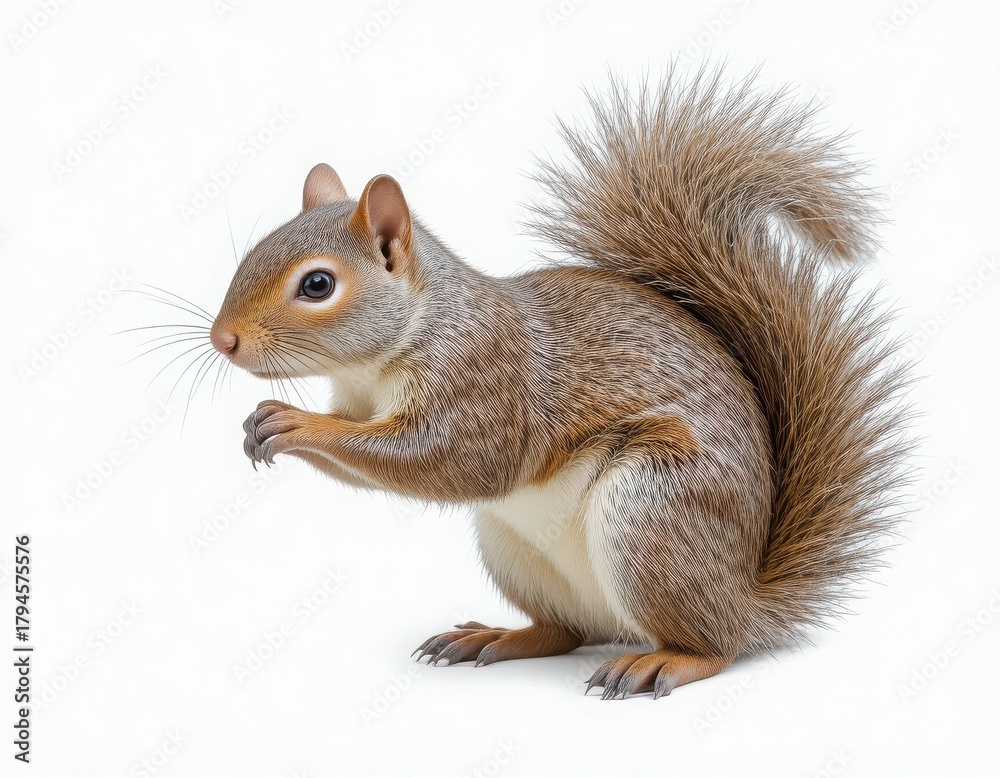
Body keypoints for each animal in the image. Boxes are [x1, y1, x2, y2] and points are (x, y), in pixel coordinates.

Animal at [209, 66, 911, 699]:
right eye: (251, 254)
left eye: (317, 284)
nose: (223, 340)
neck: (389, 353)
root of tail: (744, 598)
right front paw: (261, 425)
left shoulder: (485, 384)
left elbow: (443, 459)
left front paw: (293, 420)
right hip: (515, 551)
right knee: (568, 631)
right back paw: (498, 637)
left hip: (651, 514)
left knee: (717, 646)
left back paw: (667, 661)